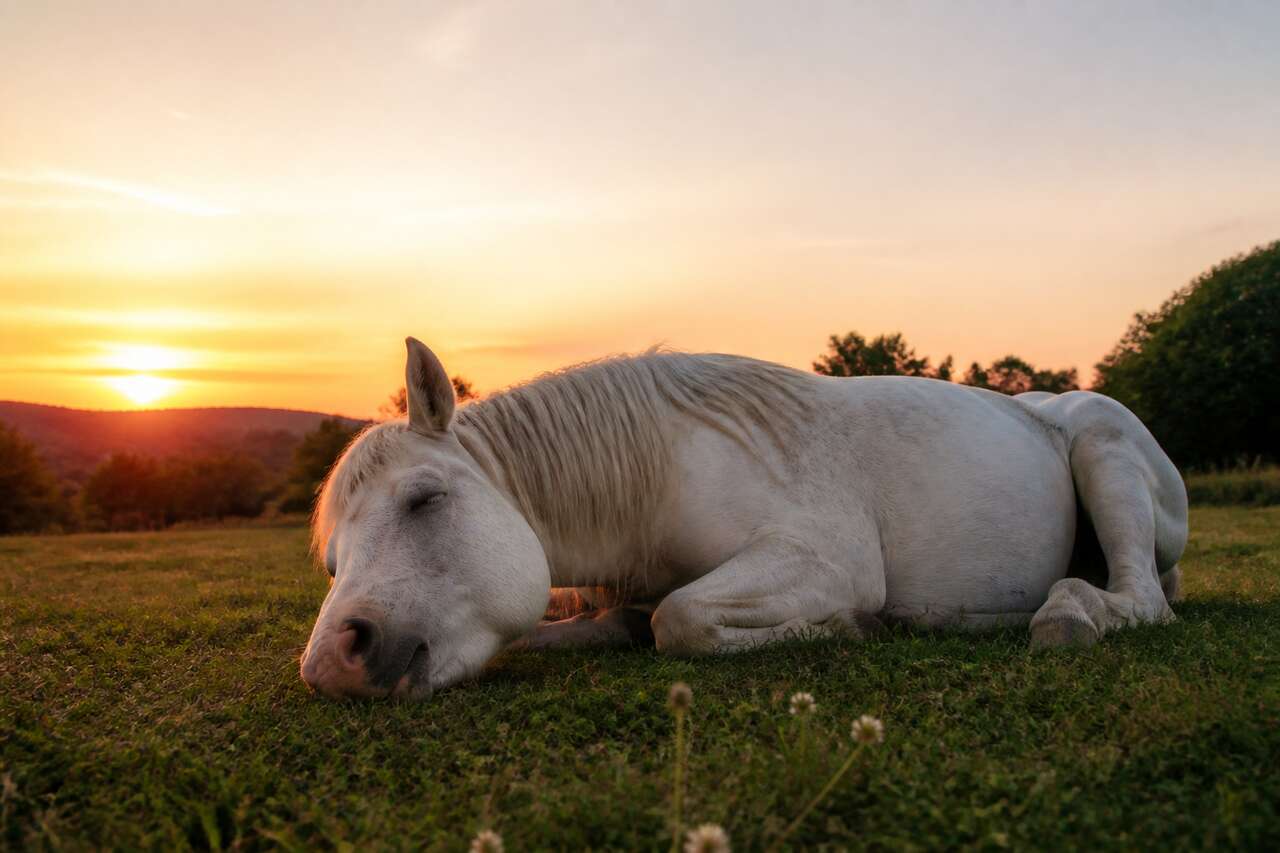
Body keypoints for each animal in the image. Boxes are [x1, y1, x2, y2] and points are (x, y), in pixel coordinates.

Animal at [299, 337, 1187, 699]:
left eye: (425, 498)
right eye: (333, 563)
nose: (334, 661)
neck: (661, 464)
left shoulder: (822, 560)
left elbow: (681, 618)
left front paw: (847, 628)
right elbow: (616, 619)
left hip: (1104, 448)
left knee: (1141, 598)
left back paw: (1071, 611)